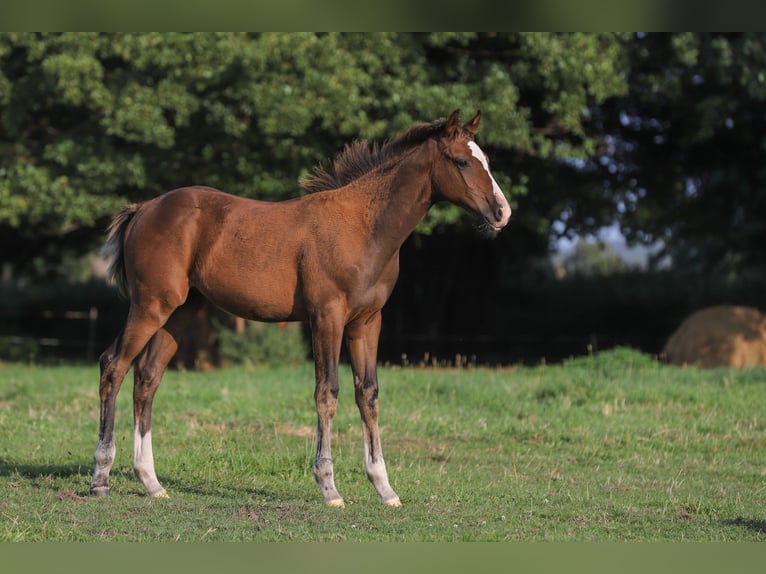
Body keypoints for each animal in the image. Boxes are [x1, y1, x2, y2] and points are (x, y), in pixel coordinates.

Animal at [91, 109, 510, 508]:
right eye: (462, 161)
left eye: (487, 159)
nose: (502, 213)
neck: (363, 225)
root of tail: (144, 208)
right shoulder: (327, 316)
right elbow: (327, 392)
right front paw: (329, 487)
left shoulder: (367, 322)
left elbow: (368, 393)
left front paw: (385, 488)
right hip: (151, 305)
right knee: (114, 365)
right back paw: (101, 478)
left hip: (179, 311)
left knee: (147, 377)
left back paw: (151, 482)